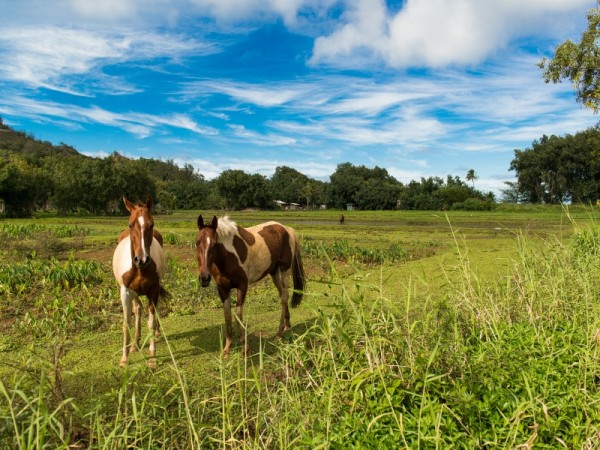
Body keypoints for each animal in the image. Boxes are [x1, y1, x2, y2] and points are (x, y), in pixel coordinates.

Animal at [112, 195, 168, 368]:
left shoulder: (154, 290)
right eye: (131, 224)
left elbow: (151, 321)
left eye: (152, 224)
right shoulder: (125, 292)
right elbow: (126, 323)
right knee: (137, 309)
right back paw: (134, 344)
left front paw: (152, 357)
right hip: (134, 293)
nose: (141, 259)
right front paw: (124, 359)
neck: (140, 269)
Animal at [197, 216, 308, 356]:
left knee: (284, 297)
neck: (229, 256)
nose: (204, 278)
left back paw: (279, 333)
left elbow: (238, 315)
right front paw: (227, 348)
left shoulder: (242, 286)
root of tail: (286, 229)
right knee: (283, 294)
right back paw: (287, 325)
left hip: (284, 270)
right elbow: (227, 315)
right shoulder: (223, 289)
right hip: (274, 272)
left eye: (215, 244)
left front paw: (245, 348)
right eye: (197, 242)